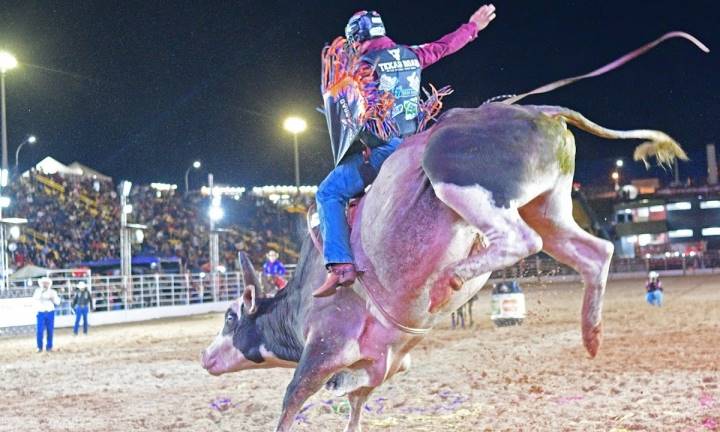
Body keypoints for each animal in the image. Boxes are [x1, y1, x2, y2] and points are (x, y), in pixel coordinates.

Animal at [200, 32, 704, 430]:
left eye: (230, 317)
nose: (206, 358)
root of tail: (542, 108)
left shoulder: (323, 348)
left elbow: (290, 402)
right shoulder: (379, 368)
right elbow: (355, 406)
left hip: (453, 177)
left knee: (521, 241)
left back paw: (454, 277)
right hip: (550, 206)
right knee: (593, 252)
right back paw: (592, 333)